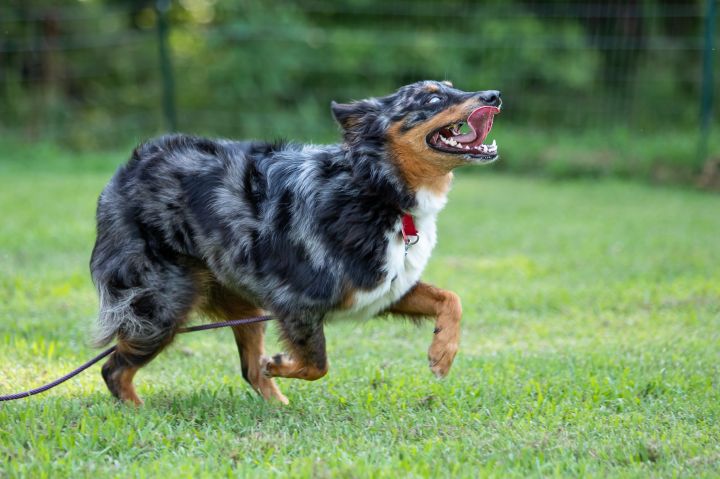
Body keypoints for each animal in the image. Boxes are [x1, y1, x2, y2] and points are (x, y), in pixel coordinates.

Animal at [90, 79, 500, 404]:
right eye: (432, 99)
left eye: (452, 87)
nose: (494, 95)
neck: (374, 187)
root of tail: (129, 169)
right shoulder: (296, 301)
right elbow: (317, 364)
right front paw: (281, 363)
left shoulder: (381, 287)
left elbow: (451, 299)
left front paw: (443, 352)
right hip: (161, 308)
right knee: (113, 370)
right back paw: (137, 412)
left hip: (241, 303)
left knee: (249, 369)